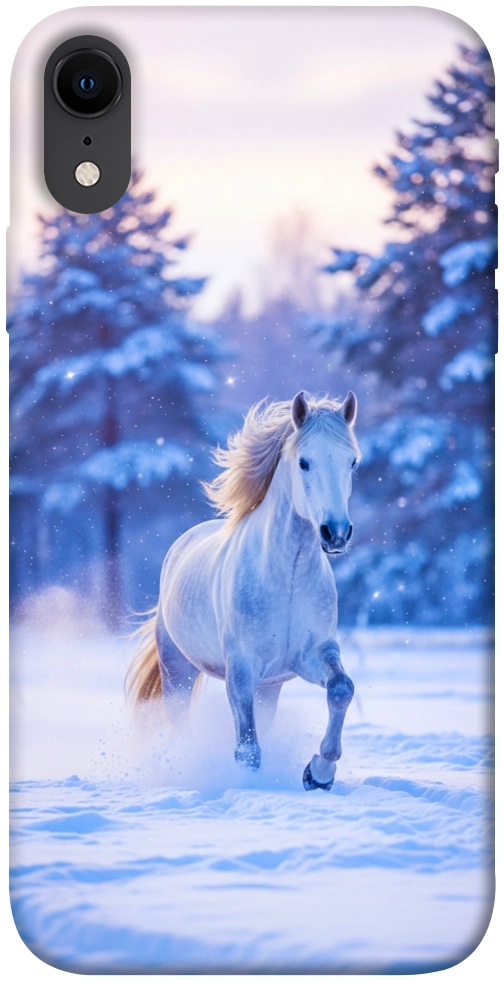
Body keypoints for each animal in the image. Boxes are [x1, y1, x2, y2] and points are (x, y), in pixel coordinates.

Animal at [126, 390, 361, 790]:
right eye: (304, 462)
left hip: (269, 687)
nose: (336, 533)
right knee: (180, 723)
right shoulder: (241, 669)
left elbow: (342, 689)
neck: (287, 578)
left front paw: (319, 773)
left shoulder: (311, 655)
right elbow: (247, 749)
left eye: (352, 462)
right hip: (178, 671)